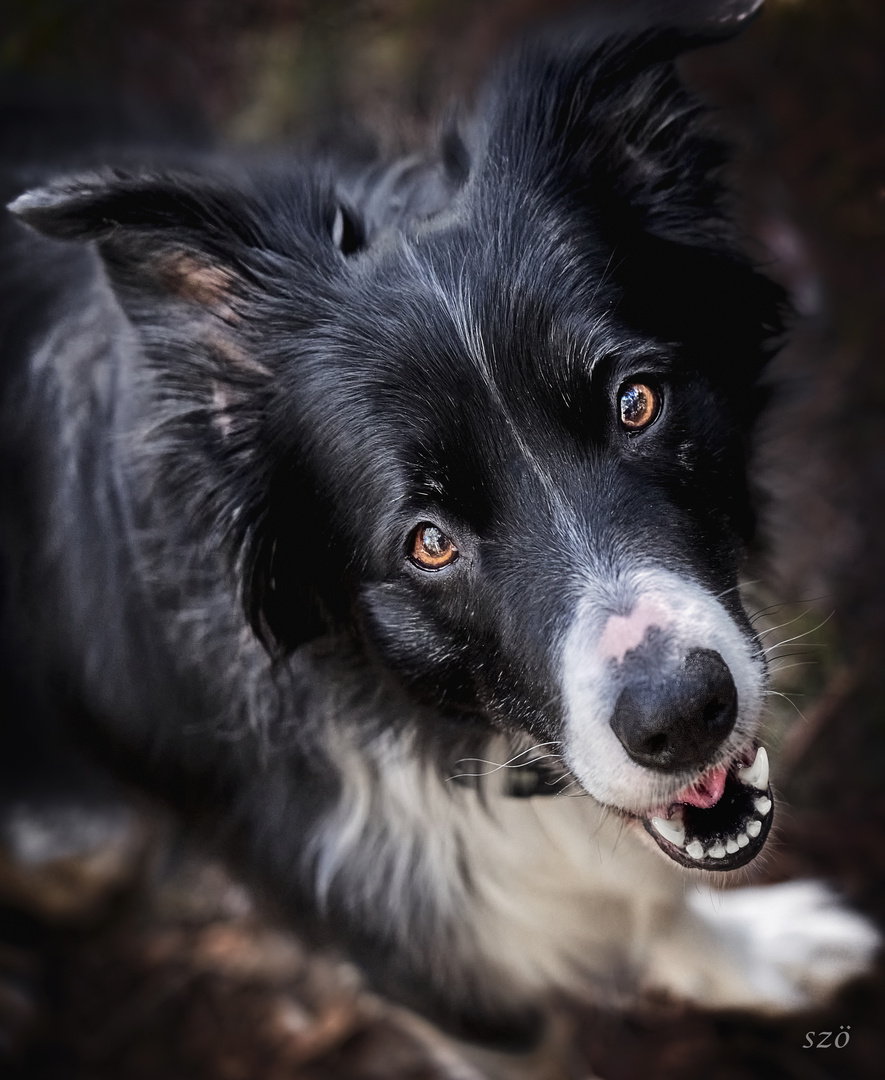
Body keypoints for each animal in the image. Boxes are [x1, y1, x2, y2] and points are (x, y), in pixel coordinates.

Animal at [0, 0, 877, 1054]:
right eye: (429, 541)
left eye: (635, 403)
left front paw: (752, 953)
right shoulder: (420, 960)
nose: (681, 716)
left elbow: (659, 892)